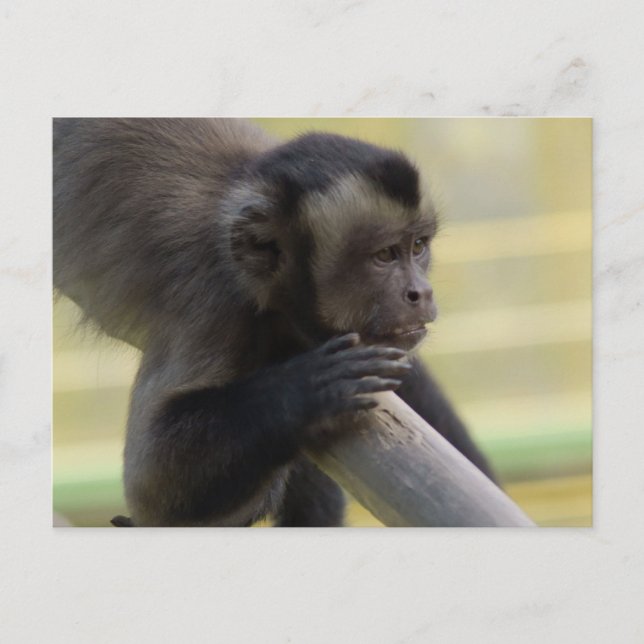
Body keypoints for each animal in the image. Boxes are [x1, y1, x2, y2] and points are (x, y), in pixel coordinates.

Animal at [53, 118, 495, 527]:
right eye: (385, 255)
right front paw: (306, 390)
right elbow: (150, 492)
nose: (421, 292)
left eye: (418, 247)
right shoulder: (217, 302)